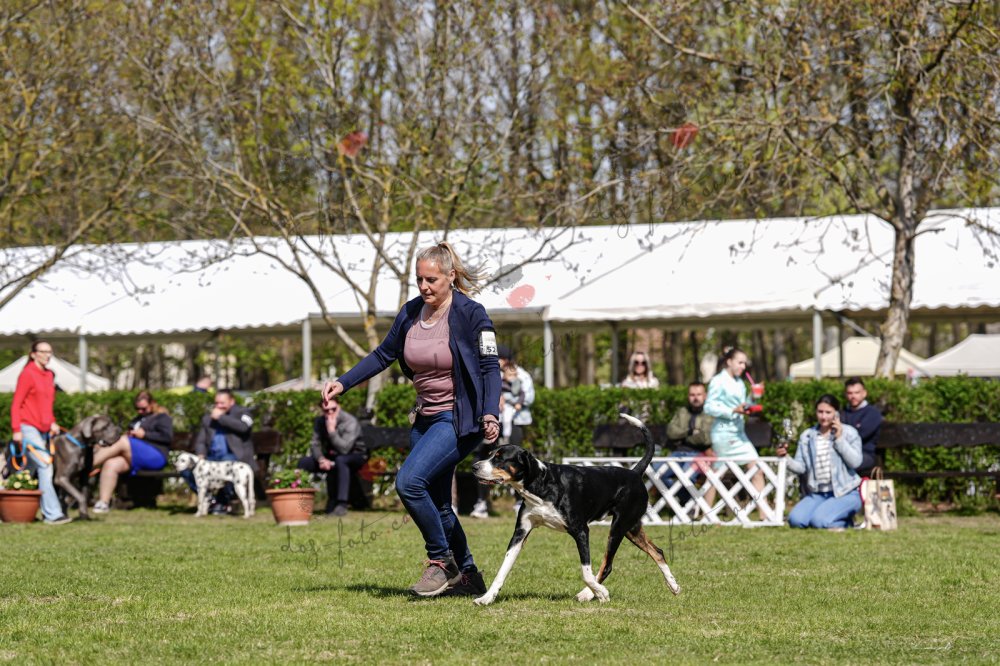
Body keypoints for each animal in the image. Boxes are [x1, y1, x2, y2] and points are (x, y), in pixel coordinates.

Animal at [471, 413, 681, 605]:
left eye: (500, 459)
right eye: (490, 455)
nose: (474, 467)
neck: (543, 485)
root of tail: (634, 473)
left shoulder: (581, 531)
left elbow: (586, 572)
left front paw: (601, 593)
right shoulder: (520, 532)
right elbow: (503, 569)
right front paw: (487, 598)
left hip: (618, 527)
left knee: (608, 564)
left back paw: (589, 594)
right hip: (631, 528)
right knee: (658, 552)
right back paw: (673, 585)